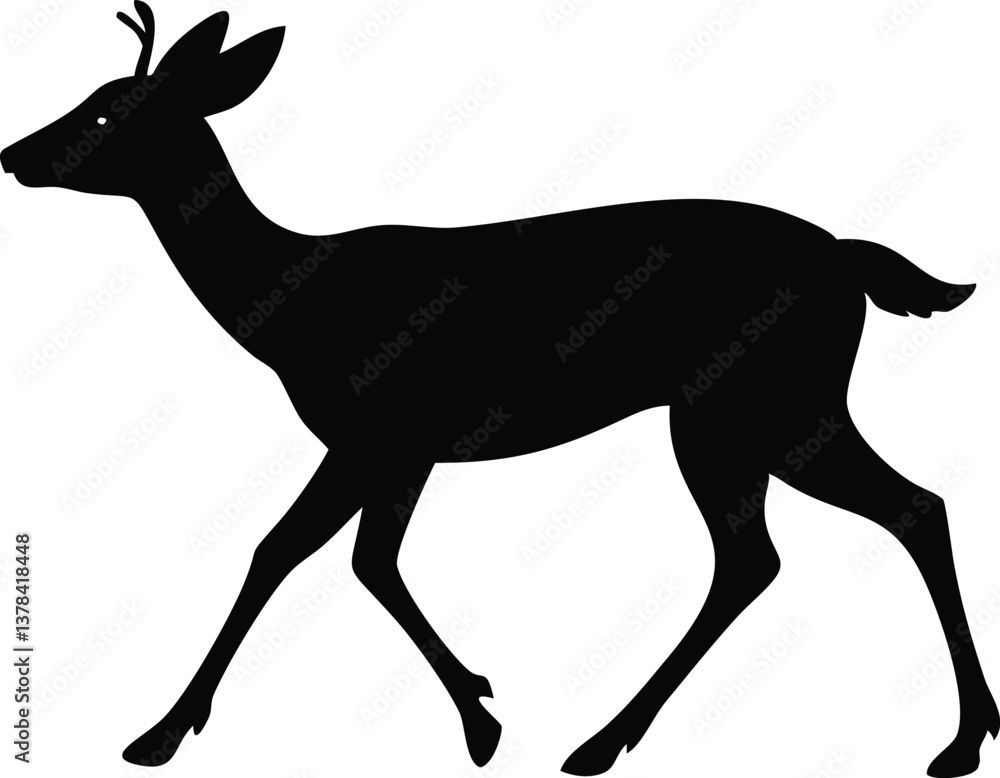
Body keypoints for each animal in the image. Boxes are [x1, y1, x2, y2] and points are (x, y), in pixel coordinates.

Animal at [2, 3, 997, 776]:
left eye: (103, 115)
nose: (15, 153)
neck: (291, 309)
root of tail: (850, 260)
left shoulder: (377, 431)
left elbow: (303, 553)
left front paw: (161, 733)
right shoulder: (393, 446)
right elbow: (338, 558)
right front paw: (479, 712)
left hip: (768, 402)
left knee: (898, 510)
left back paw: (951, 740)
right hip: (734, 416)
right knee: (768, 552)